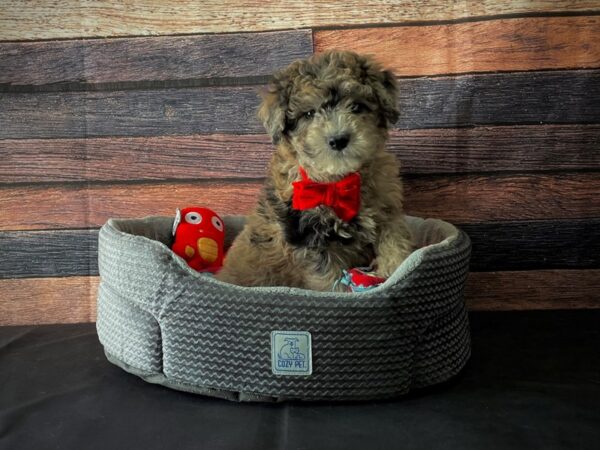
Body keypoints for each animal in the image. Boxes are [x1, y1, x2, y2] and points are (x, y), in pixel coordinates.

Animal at [218, 51, 414, 290]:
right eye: (309, 113)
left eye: (357, 107)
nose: (338, 140)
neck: (339, 180)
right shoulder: (308, 236)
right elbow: (330, 280)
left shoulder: (387, 211)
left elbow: (395, 244)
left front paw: (395, 273)